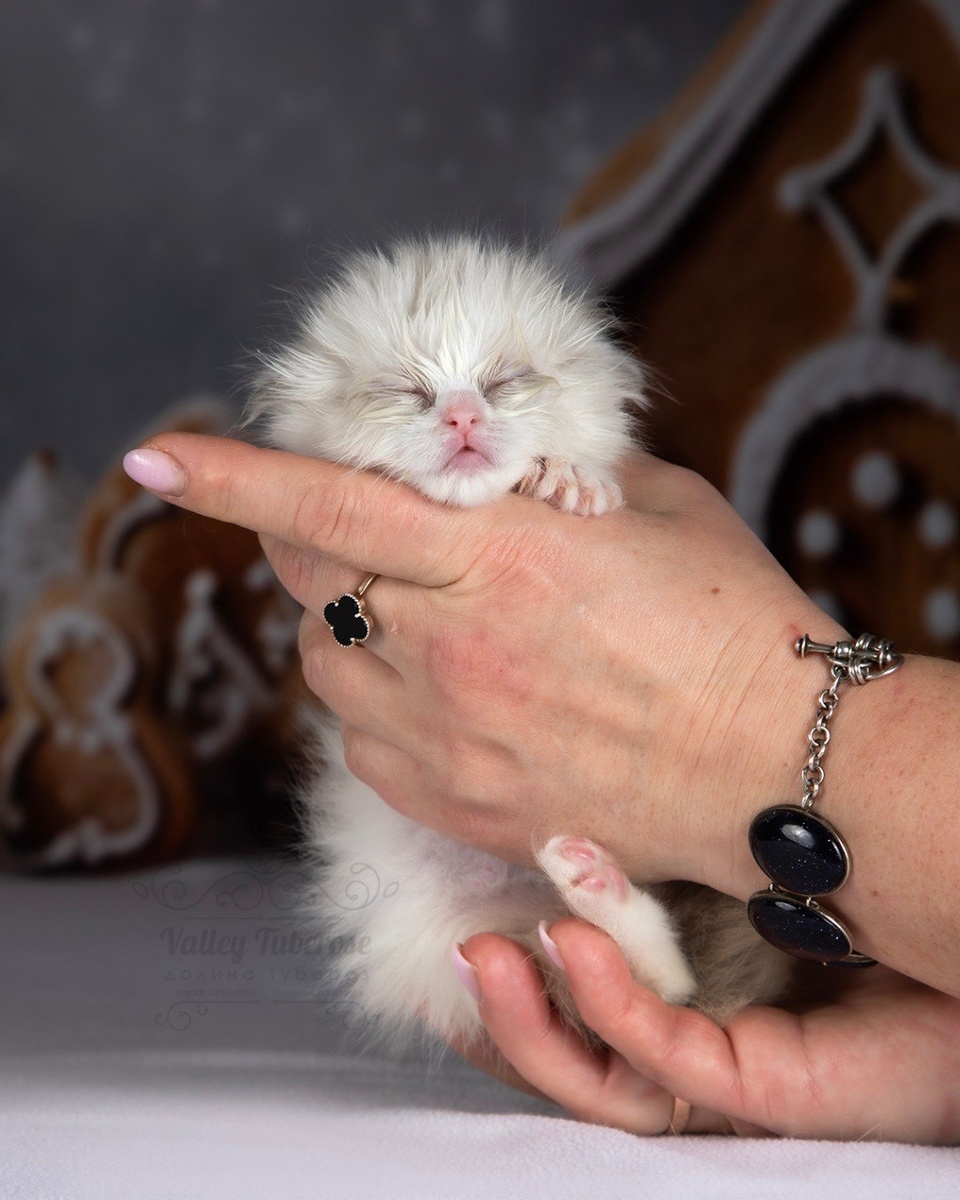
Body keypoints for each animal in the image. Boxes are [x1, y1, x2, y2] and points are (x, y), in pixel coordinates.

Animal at [248, 236, 790, 1048]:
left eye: (506, 382)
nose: (462, 418)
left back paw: (597, 887)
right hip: (460, 929)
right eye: (405, 391)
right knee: (638, 981)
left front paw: (568, 480)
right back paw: (593, 888)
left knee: (671, 987)